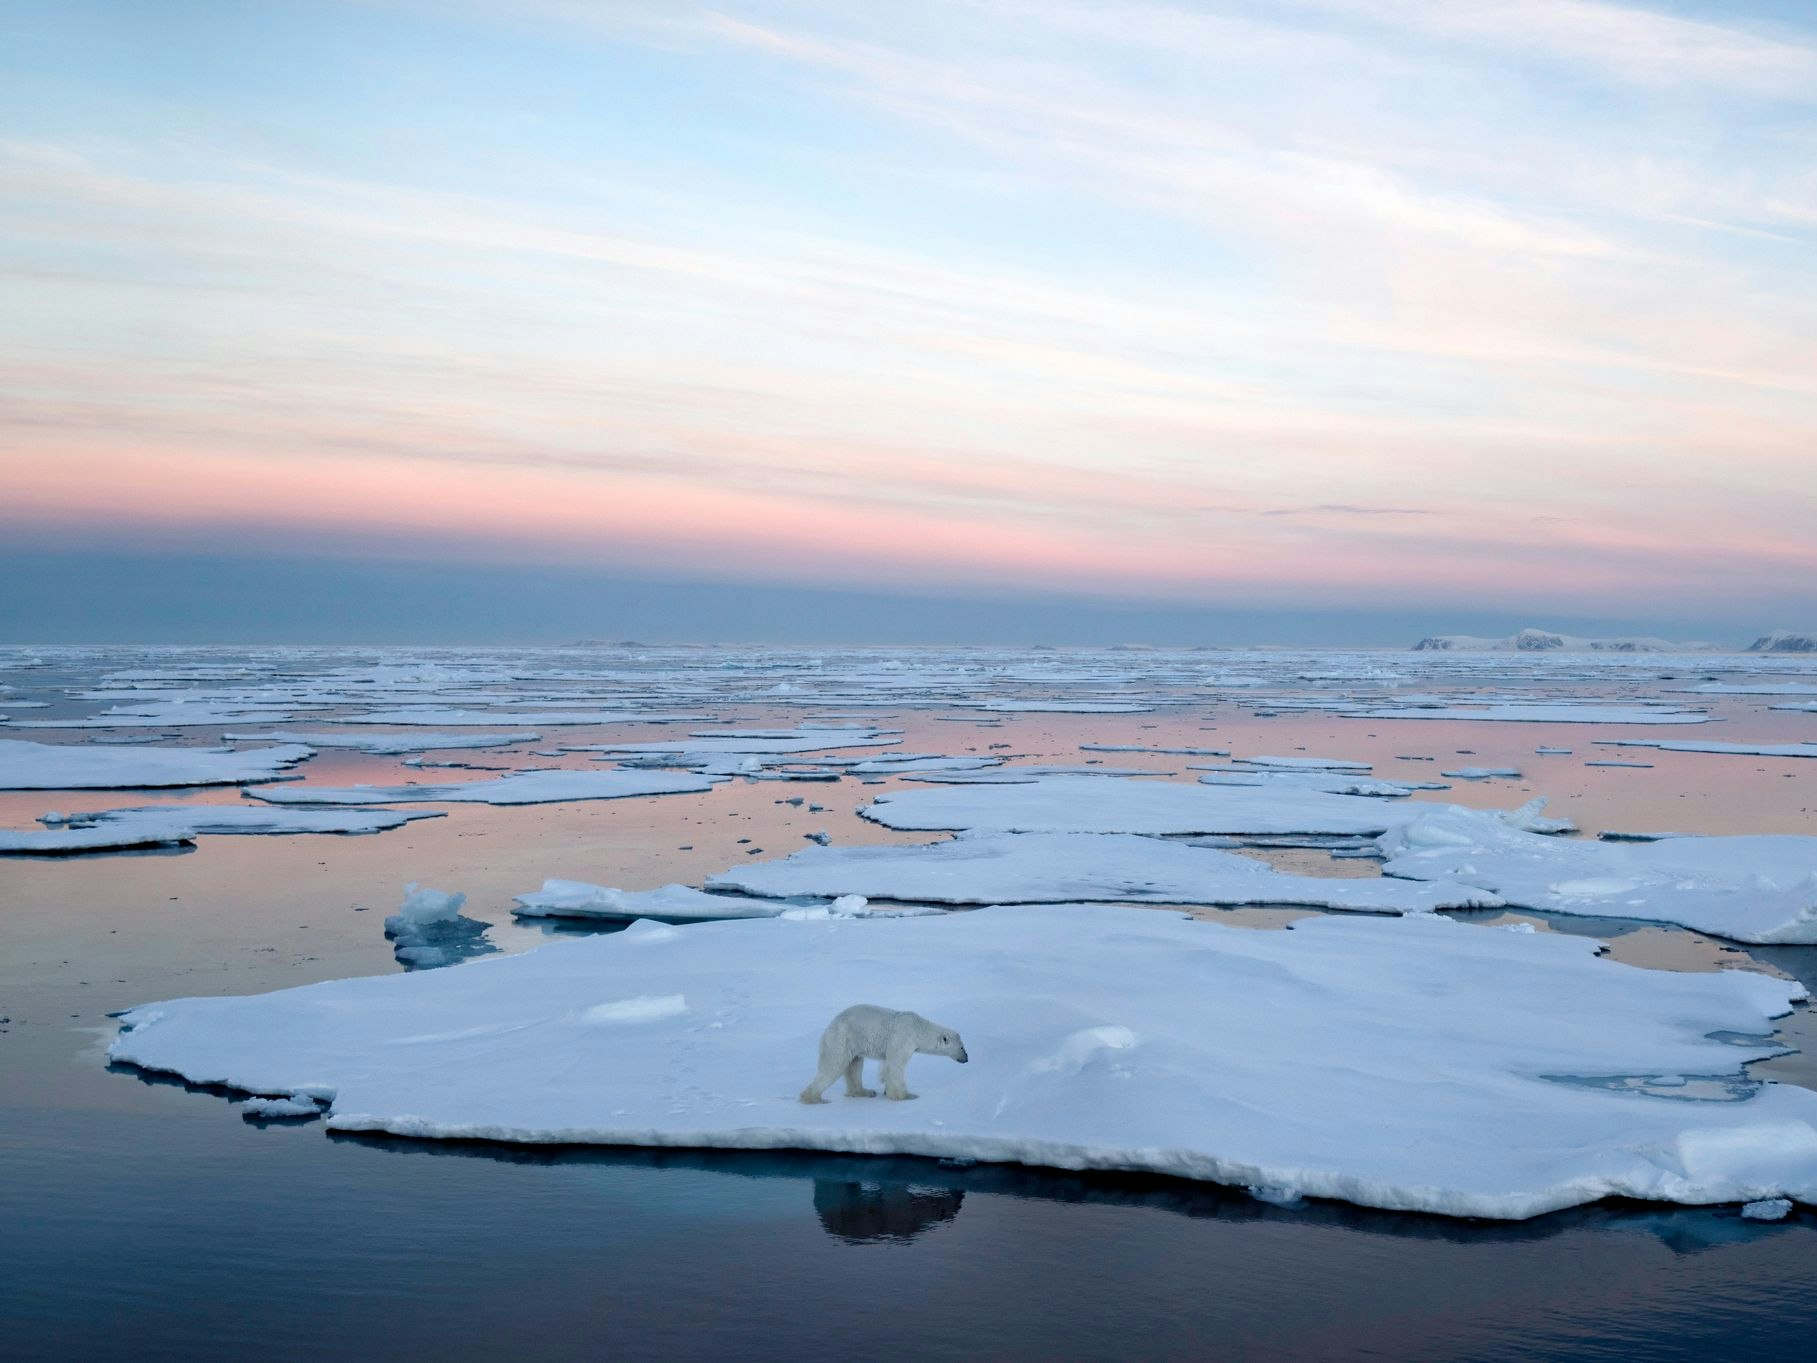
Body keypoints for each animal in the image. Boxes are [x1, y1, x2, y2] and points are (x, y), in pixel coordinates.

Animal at [799, 1004, 968, 1104]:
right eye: (961, 1047)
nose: (966, 1058)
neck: (918, 1028)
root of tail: (829, 1027)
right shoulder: (903, 1037)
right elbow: (896, 1065)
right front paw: (907, 1096)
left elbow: (886, 1065)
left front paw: (886, 1089)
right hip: (841, 1039)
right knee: (833, 1066)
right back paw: (814, 1098)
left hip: (853, 1043)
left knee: (855, 1065)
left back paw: (864, 1092)